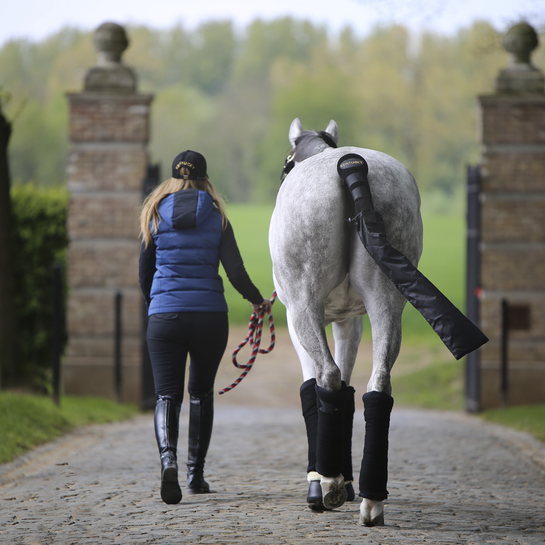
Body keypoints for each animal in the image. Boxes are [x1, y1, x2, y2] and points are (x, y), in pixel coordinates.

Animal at [270, 118, 422, 524]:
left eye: (286, 163)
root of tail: (351, 168)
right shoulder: (349, 322)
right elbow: (348, 391)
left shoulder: (298, 320)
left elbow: (315, 387)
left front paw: (321, 479)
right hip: (387, 303)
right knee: (377, 384)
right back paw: (371, 501)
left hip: (304, 308)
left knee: (327, 376)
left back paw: (329, 483)